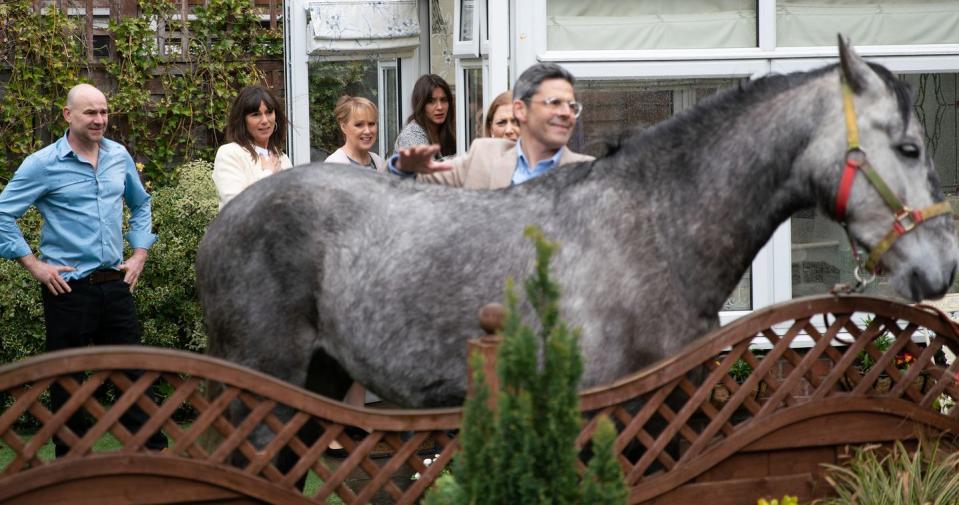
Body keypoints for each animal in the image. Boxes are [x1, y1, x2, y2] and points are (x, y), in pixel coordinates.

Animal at [197, 40, 959, 410]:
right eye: (908, 148)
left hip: (320, 377)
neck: (656, 227)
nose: (943, 266)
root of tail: (224, 221)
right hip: (262, 386)